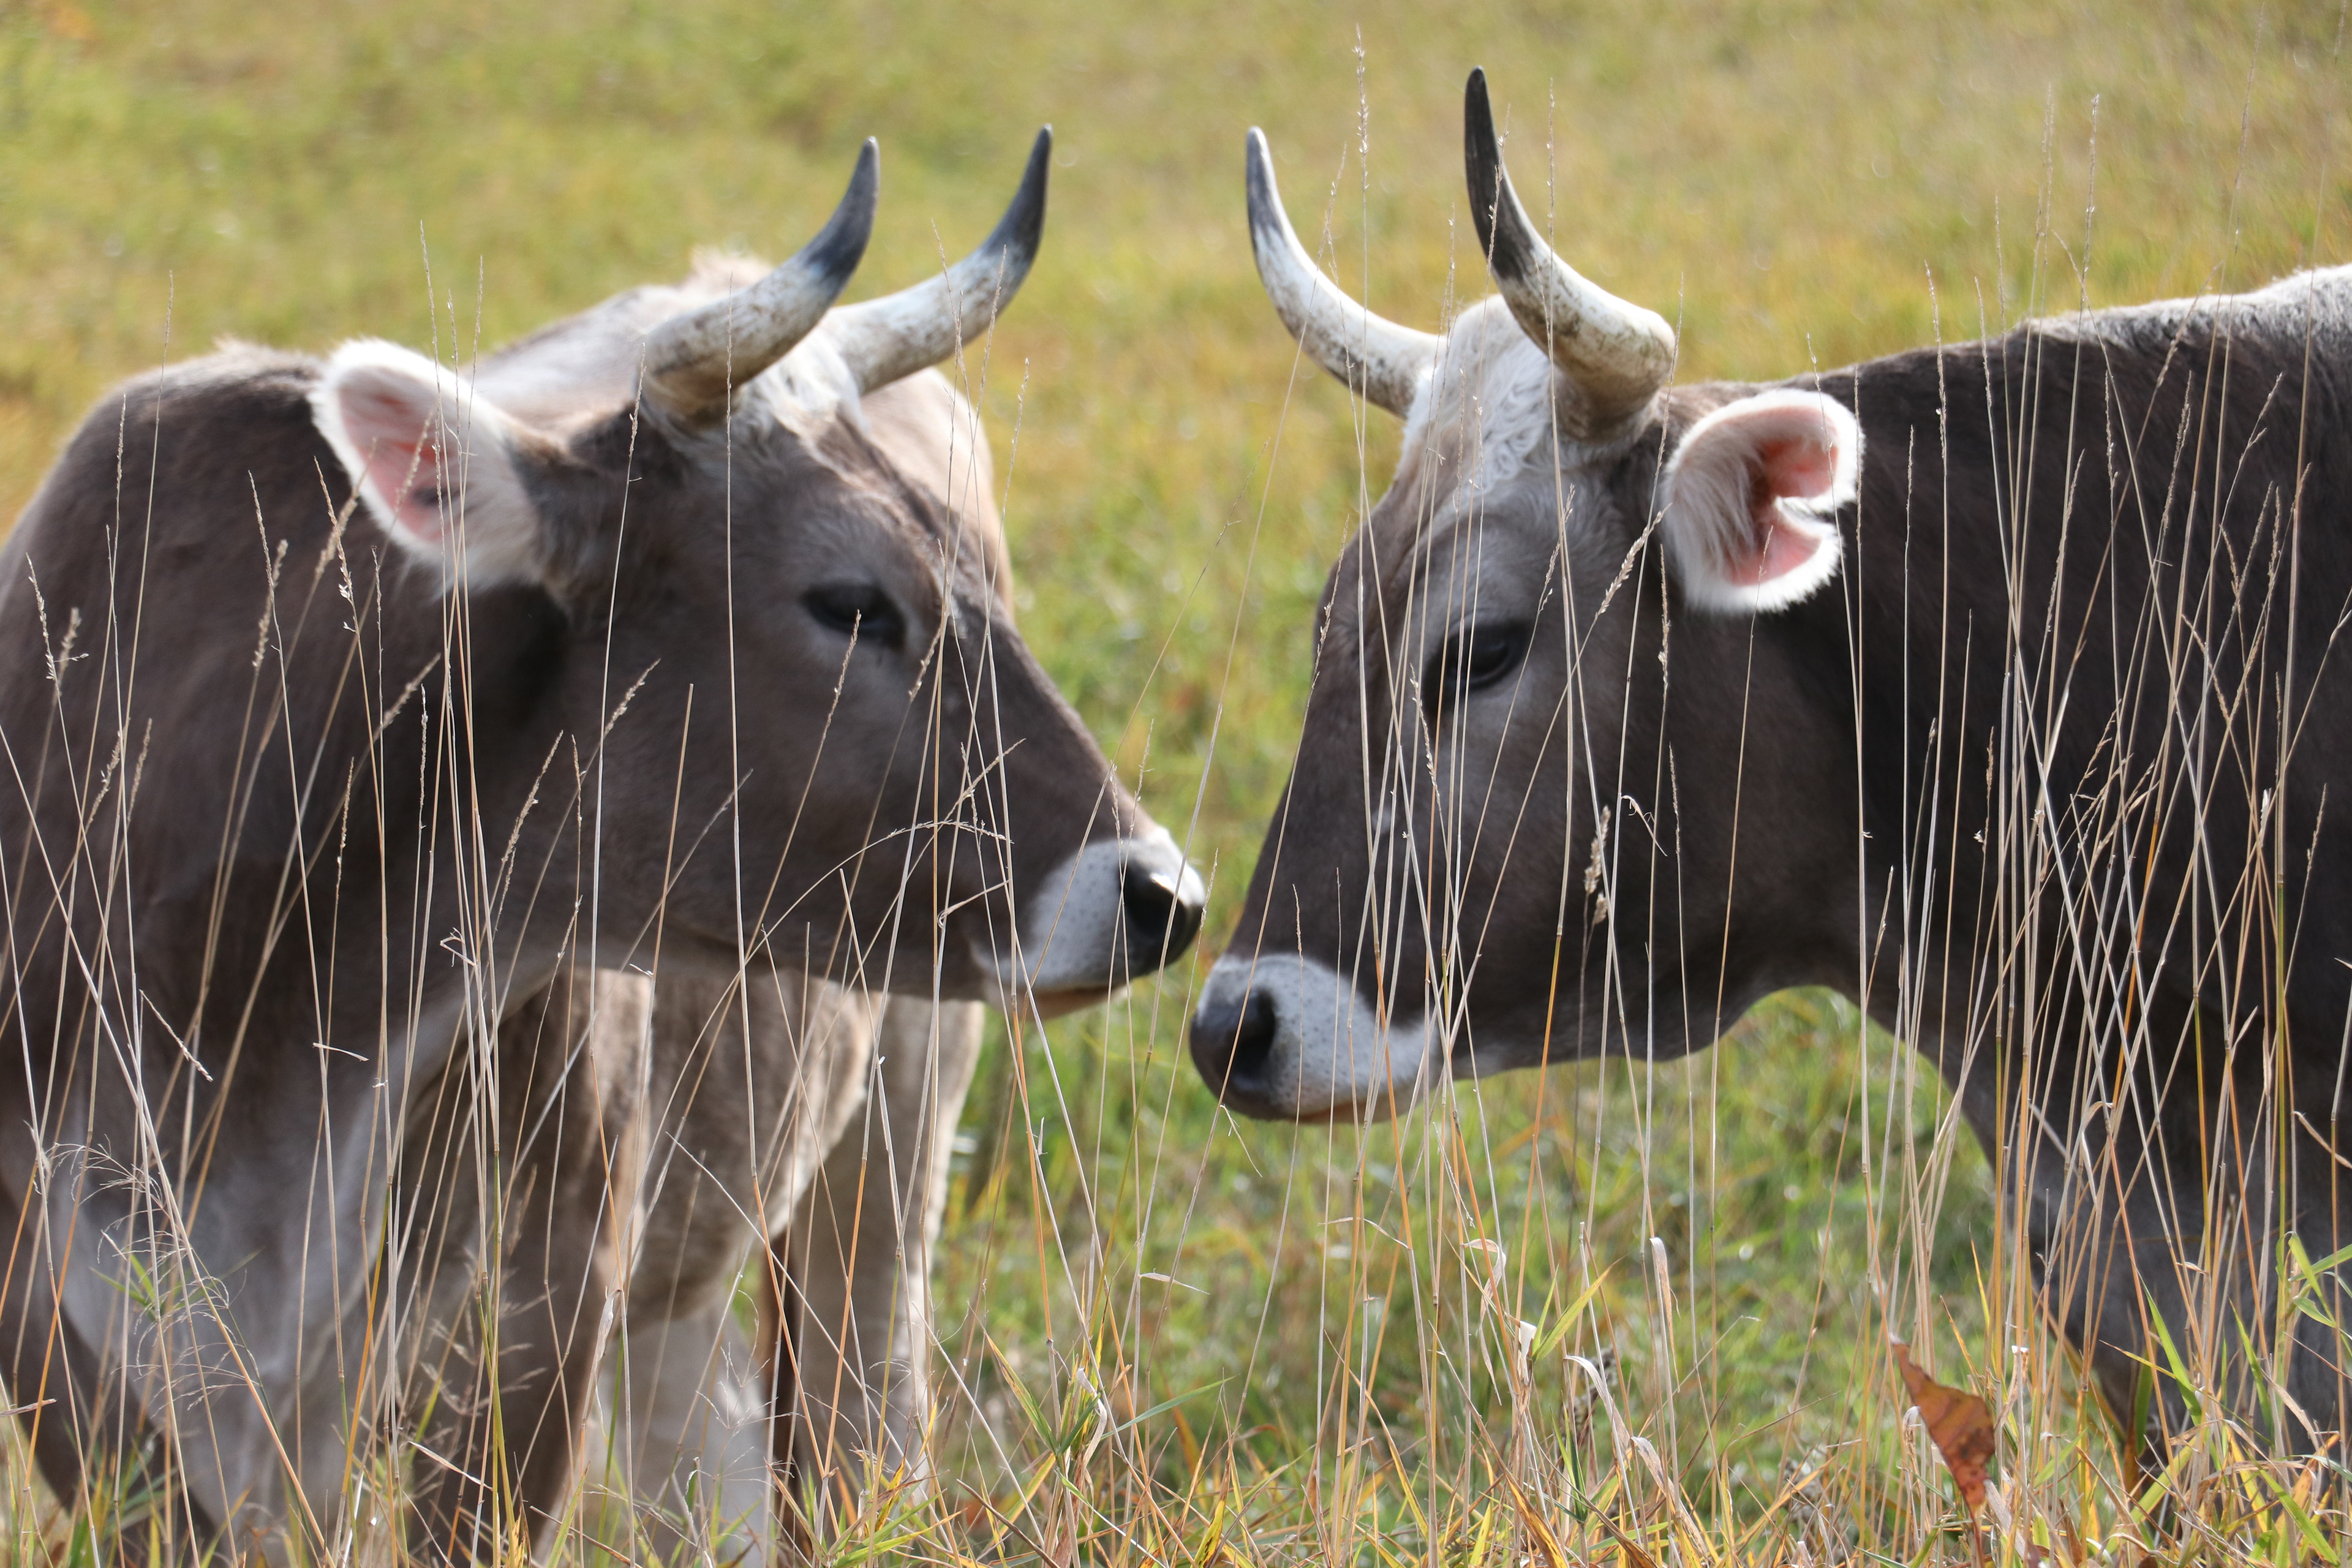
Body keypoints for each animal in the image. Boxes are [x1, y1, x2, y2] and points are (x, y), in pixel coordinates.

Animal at [0, 126, 1203, 1565]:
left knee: (859, 1428)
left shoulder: (525, 1326)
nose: (1159, 890)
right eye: (852, 601)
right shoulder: (91, 1371)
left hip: (884, 1155)